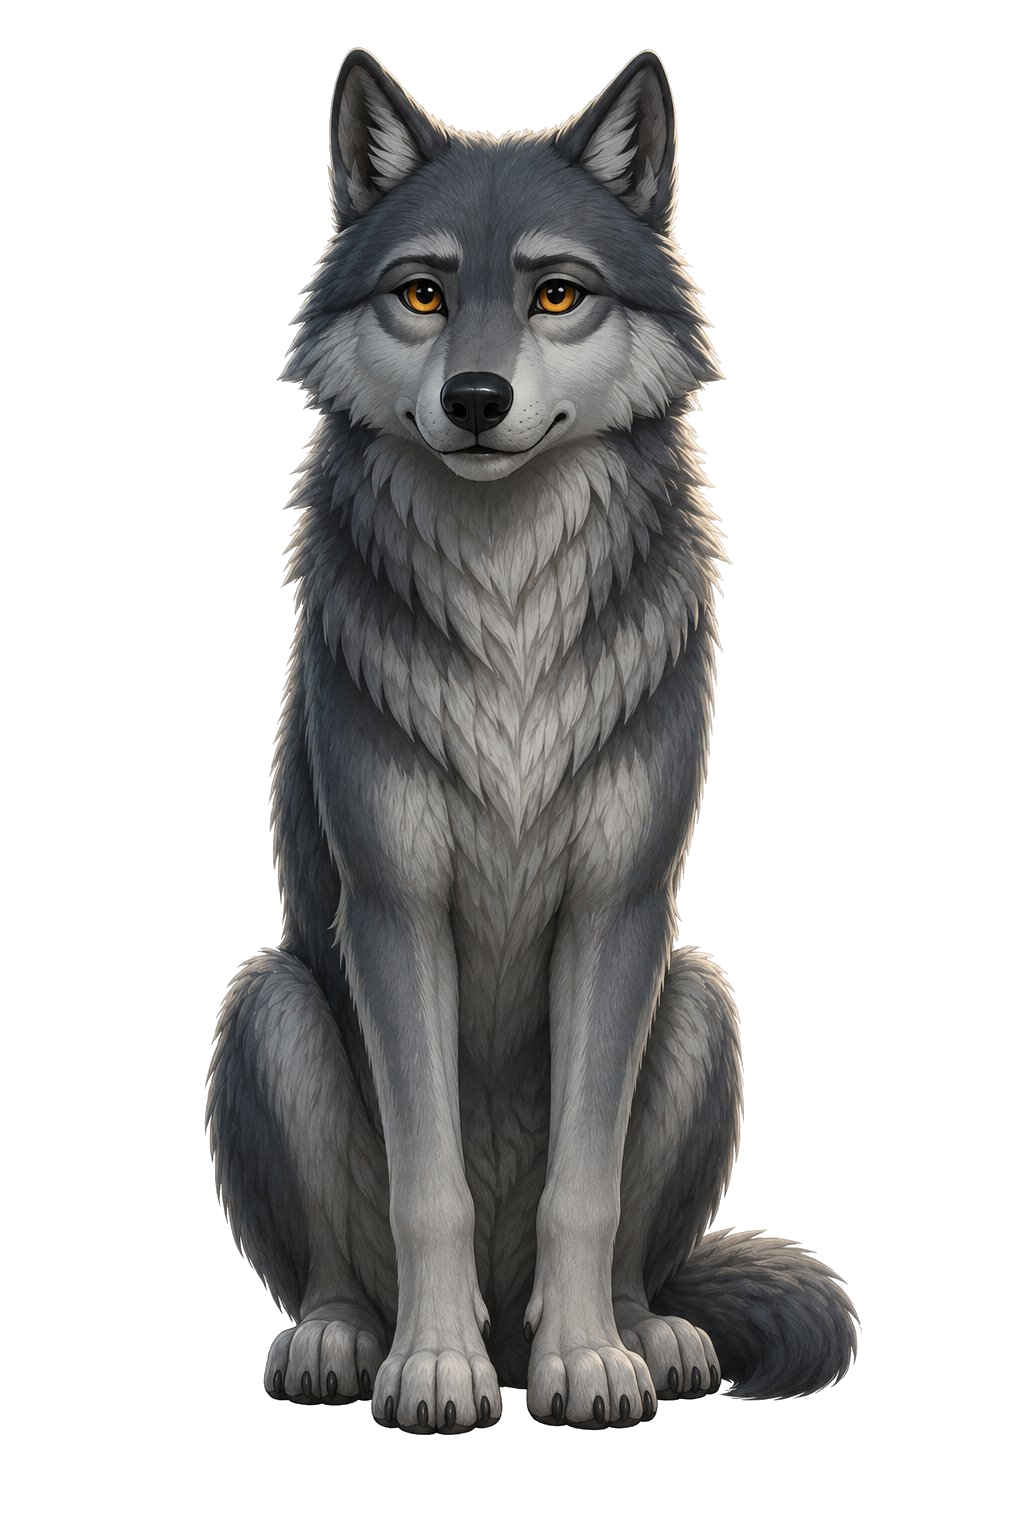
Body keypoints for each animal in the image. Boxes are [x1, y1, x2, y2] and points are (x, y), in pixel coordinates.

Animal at [207, 48, 858, 1429]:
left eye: (557, 293)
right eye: (423, 292)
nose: (475, 398)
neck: (509, 599)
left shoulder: (618, 906)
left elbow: (583, 1188)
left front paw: (589, 1368)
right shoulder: (395, 907)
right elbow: (429, 1187)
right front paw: (434, 1371)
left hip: (698, 997)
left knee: (632, 1255)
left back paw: (639, 1338)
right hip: (269, 1001)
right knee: (337, 1271)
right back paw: (348, 1345)